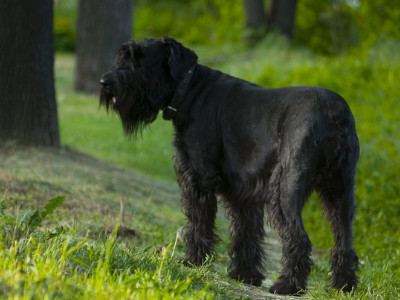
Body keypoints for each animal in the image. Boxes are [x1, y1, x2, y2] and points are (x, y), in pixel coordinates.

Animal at [99, 37, 360, 296]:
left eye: (140, 59)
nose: (105, 82)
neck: (189, 89)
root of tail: (336, 115)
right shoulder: (244, 193)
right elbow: (246, 233)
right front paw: (246, 275)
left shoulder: (198, 178)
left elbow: (199, 223)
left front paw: (193, 262)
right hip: (340, 192)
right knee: (344, 241)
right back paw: (343, 285)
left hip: (286, 189)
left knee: (299, 238)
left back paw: (288, 285)